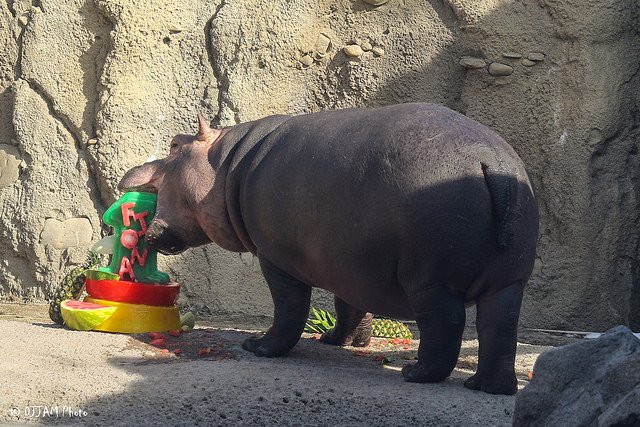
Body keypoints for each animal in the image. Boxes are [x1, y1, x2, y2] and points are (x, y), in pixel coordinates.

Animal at [119, 103, 538, 395]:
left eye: (174, 144)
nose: (127, 174)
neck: (225, 166)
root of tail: (490, 160)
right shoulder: (349, 264)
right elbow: (349, 306)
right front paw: (338, 342)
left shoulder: (276, 258)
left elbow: (290, 307)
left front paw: (259, 346)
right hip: (507, 282)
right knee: (500, 326)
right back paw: (487, 387)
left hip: (430, 280)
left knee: (446, 323)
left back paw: (416, 374)